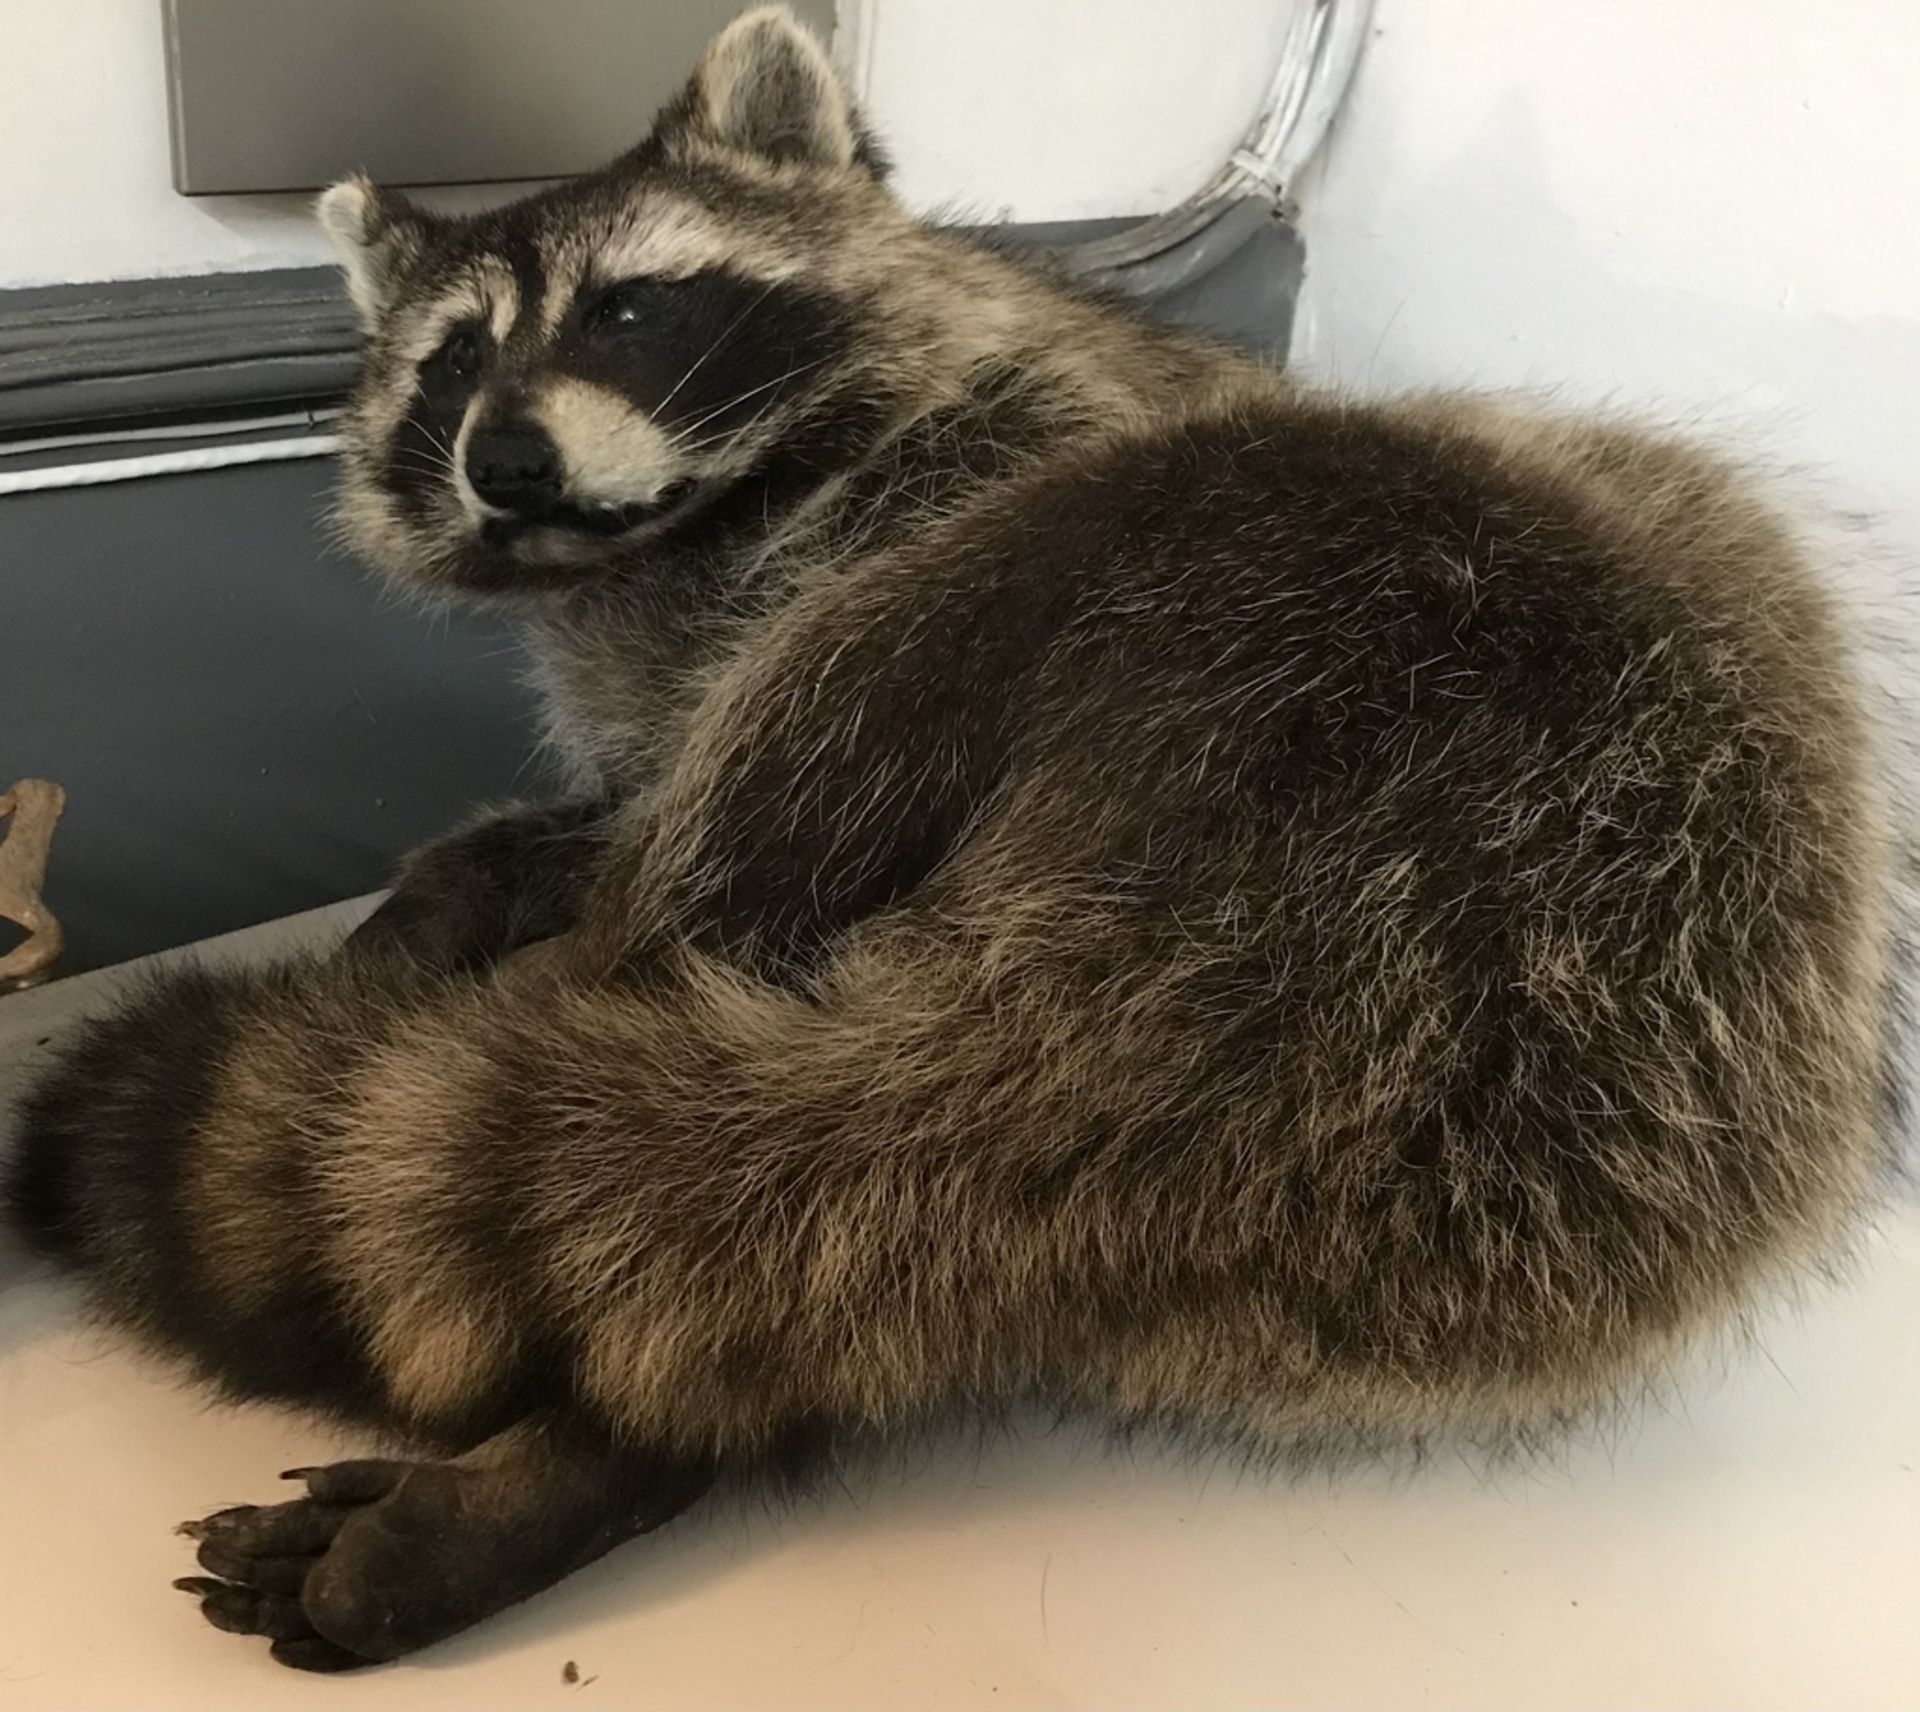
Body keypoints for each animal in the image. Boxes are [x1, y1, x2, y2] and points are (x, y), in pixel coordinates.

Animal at [0, 6, 1896, 1681]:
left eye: (630, 308)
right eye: (455, 358)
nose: (507, 458)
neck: (668, 538)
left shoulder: (1000, 438)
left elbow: (704, 777)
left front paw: (549, 897)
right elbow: (618, 787)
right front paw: (478, 872)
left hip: (1217, 563)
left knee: (802, 764)